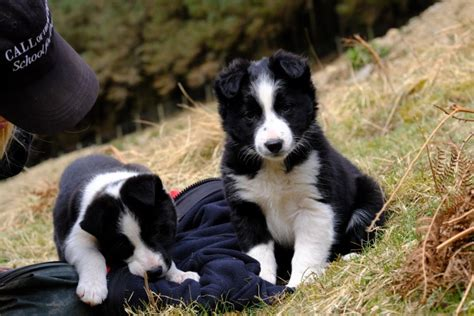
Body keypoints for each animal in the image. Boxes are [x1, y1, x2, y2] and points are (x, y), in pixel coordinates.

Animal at [53, 154, 200, 304]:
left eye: (158, 231)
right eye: (121, 246)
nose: (154, 272)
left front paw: (179, 275)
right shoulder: (75, 239)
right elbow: (93, 255)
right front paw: (93, 288)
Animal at [215, 50, 386, 288]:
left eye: (286, 108)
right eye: (250, 115)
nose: (274, 144)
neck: (274, 166)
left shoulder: (313, 204)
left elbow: (306, 250)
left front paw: (300, 282)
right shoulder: (246, 208)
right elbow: (259, 253)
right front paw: (263, 281)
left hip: (370, 198)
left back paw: (349, 257)